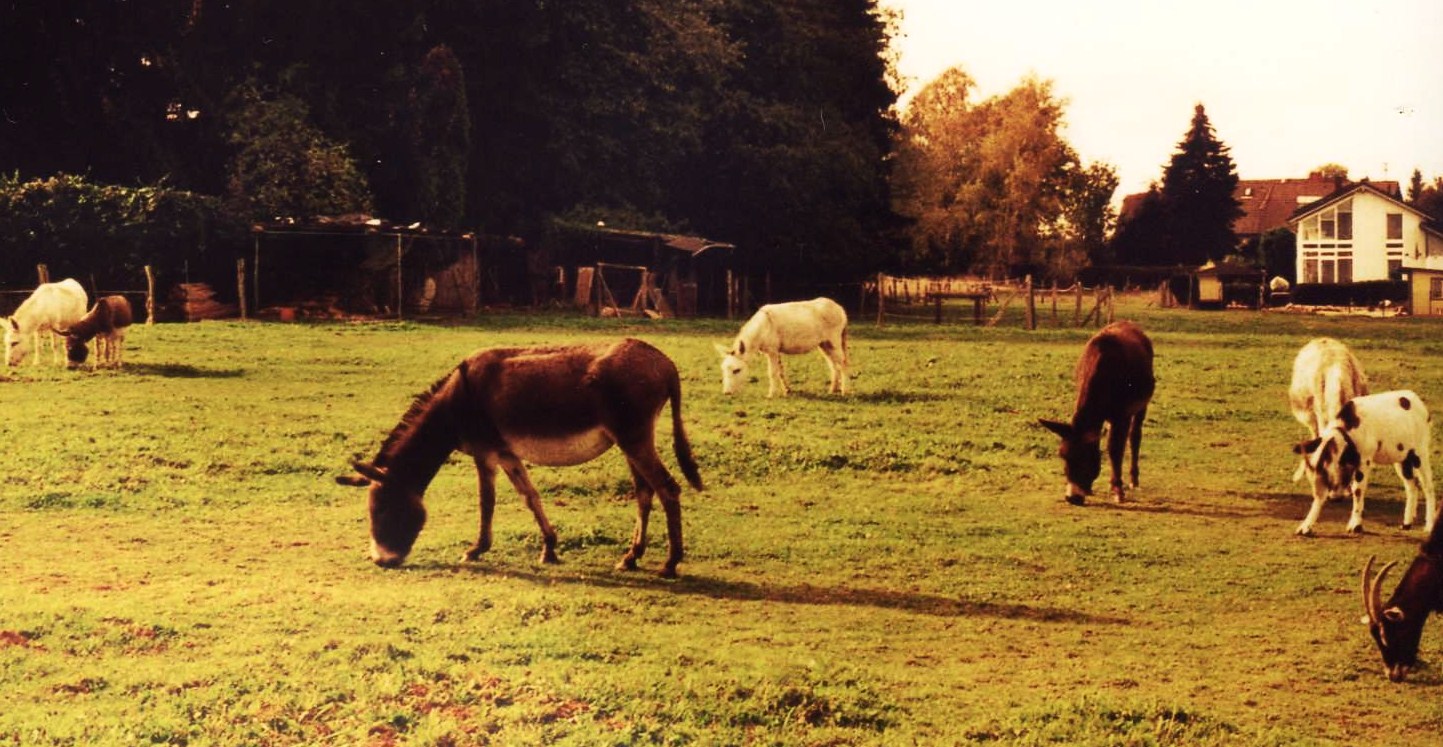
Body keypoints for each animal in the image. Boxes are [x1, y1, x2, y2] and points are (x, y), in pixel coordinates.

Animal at [718, 297, 848, 398]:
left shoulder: (772, 351)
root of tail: (839, 308)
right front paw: (787, 391)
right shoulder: (776, 351)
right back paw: (832, 390)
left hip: (834, 341)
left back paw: (845, 391)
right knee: (833, 366)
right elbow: (780, 371)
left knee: (843, 363)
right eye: (723, 370)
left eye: (736, 370)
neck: (763, 326)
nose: (727, 393)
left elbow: (772, 372)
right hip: (824, 344)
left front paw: (771, 395)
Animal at [1298, 392, 1431, 539]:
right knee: (1412, 486)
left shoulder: (1364, 461)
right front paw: (1305, 527)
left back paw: (1429, 526)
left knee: (1428, 486)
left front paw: (1355, 525)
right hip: (1402, 458)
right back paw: (1407, 523)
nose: (1333, 497)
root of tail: (1416, 400)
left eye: (1325, 470)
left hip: (1420, 453)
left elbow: (1357, 490)